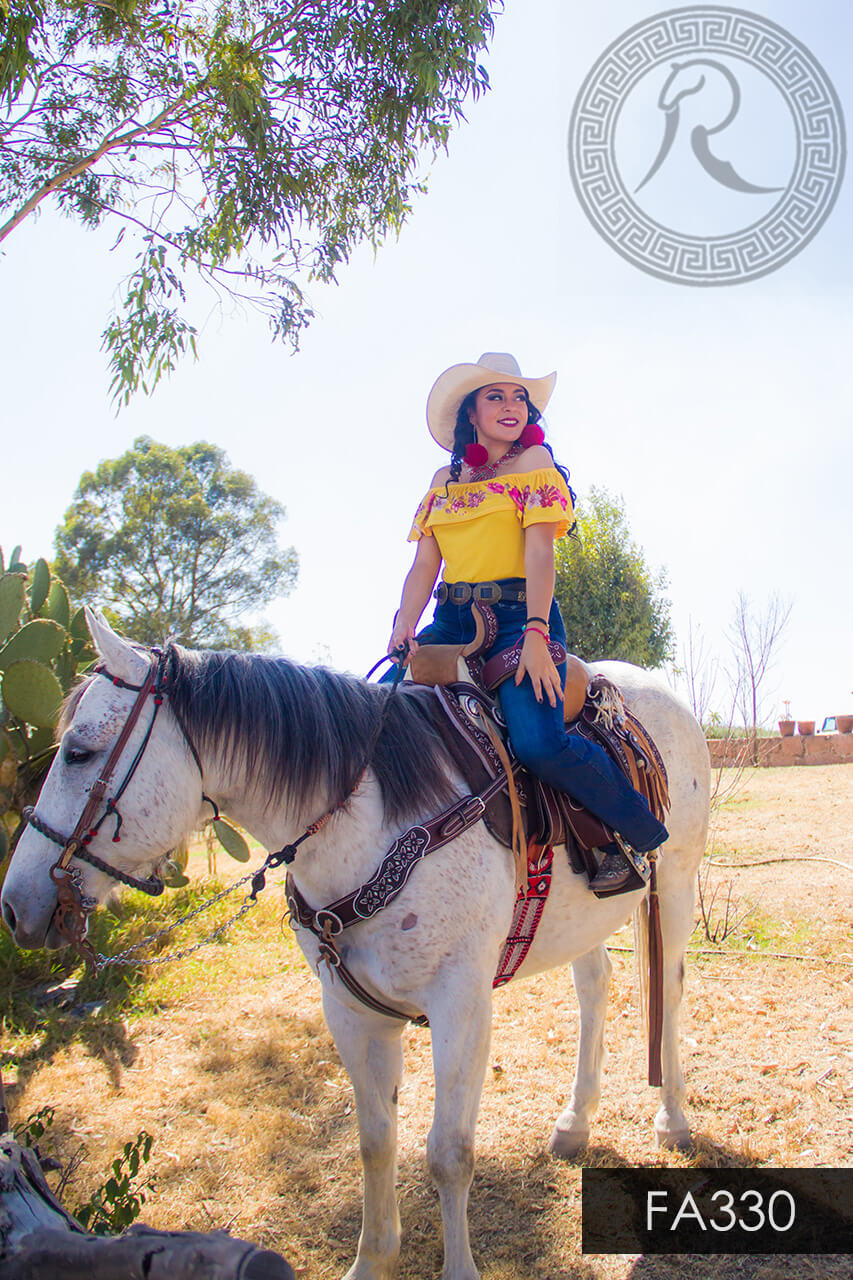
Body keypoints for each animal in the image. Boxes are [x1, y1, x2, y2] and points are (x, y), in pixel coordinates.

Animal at [3, 611, 706, 1280]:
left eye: (77, 752)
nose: (15, 906)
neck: (375, 824)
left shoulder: (461, 1006)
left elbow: (449, 1154)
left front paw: (457, 1269)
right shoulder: (350, 1009)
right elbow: (375, 1142)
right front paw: (372, 1261)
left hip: (674, 883)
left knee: (668, 991)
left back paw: (672, 1118)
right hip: (583, 919)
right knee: (594, 990)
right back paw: (574, 1122)